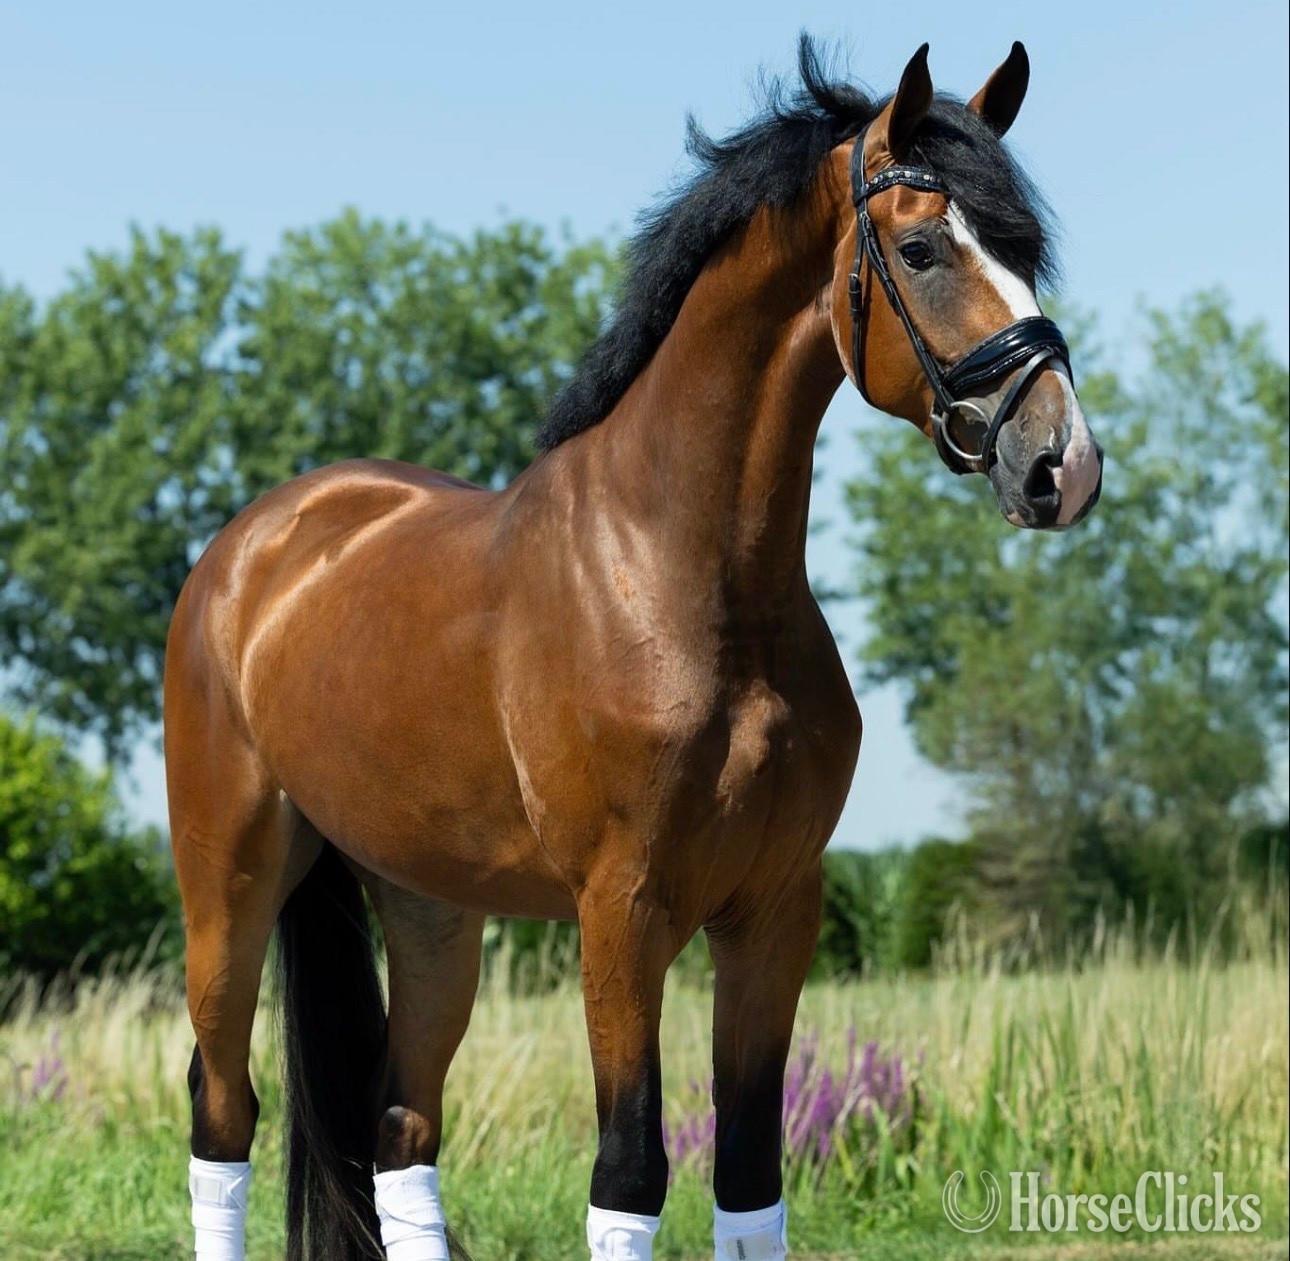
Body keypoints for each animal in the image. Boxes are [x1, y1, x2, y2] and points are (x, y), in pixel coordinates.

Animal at [166, 36, 1103, 1261]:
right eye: (921, 247)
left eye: (1028, 249)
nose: (1062, 465)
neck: (680, 577)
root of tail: (245, 554)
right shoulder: (623, 910)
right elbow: (630, 1171)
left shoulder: (775, 908)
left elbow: (748, 1174)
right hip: (229, 881)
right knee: (222, 1110)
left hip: (428, 906)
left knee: (400, 1131)